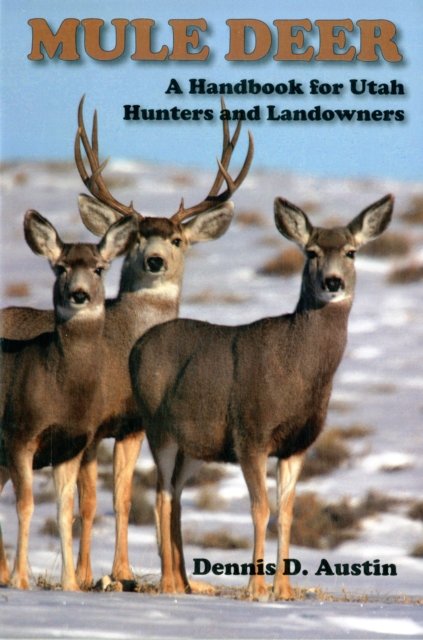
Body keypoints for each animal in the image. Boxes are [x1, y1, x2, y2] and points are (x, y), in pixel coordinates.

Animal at [0, 210, 138, 590]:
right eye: (60, 267)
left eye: (99, 268)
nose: (79, 294)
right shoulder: (20, 434)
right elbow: (26, 505)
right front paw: (21, 580)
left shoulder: (70, 445)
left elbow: (66, 512)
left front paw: (71, 584)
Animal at [129, 193, 394, 600]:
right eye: (312, 252)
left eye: (351, 252)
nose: (332, 282)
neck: (296, 369)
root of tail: (136, 347)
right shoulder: (250, 432)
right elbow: (260, 508)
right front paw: (255, 588)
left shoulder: (297, 444)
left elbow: (286, 513)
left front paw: (283, 589)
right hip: (158, 428)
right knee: (162, 496)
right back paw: (169, 583)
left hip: (195, 447)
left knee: (173, 494)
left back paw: (184, 583)